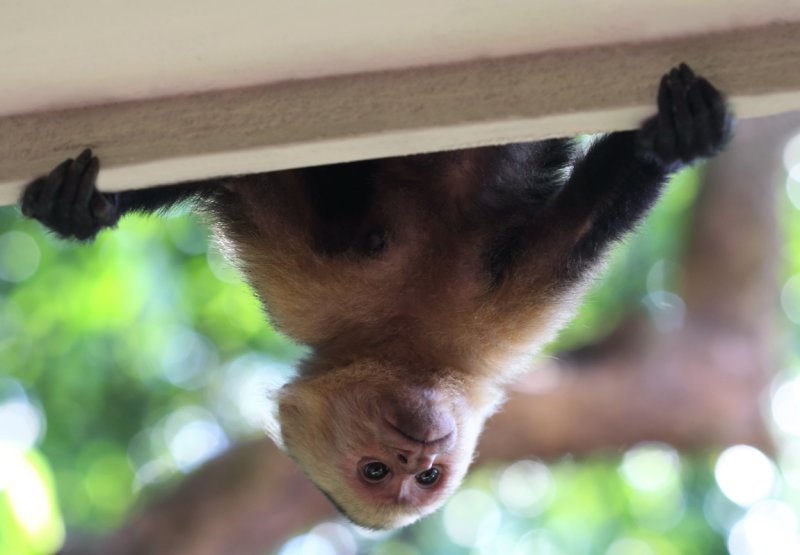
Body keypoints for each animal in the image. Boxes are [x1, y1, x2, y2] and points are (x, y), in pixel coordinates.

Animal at [18, 65, 732, 528]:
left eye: (425, 477)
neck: (402, 336)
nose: (418, 454)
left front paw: (679, 133)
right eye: (380, 474)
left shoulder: (499, 321)